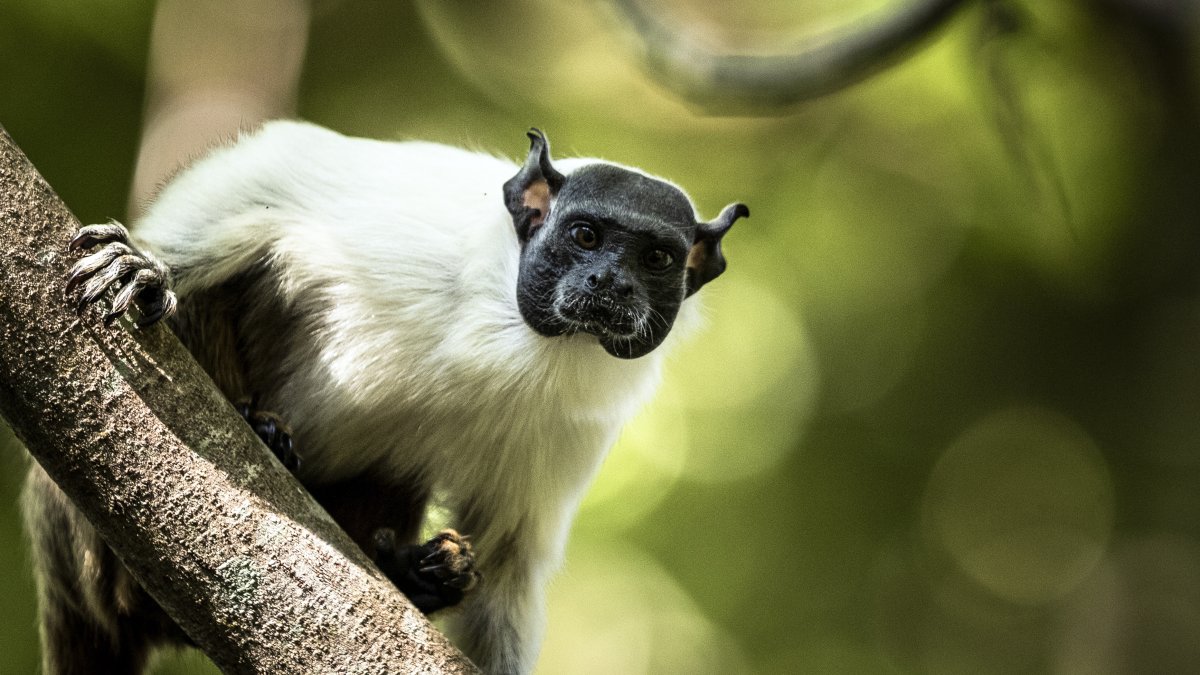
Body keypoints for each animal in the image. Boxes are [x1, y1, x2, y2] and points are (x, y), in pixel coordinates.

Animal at [33, 120, 747, 674]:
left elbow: (509, 563)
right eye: (587, 237)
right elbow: (279, 169)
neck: (517, 336)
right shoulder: (412, 223)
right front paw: (148, 267)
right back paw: (260, 431)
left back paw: (418, 572)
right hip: (87, 544)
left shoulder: (574, 429)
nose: (609, 283)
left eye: (656, 259)